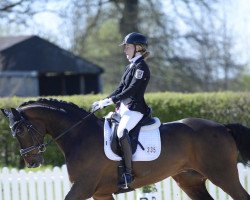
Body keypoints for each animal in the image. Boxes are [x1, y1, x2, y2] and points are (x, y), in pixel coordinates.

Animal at [0, 98, 250, 200]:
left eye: (20, 130)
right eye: (12, 132)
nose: (32, 162)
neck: (79, 135)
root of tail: (223, 127)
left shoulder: (83, 187)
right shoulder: (101, 193)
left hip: (223, 175)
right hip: (190, 181)